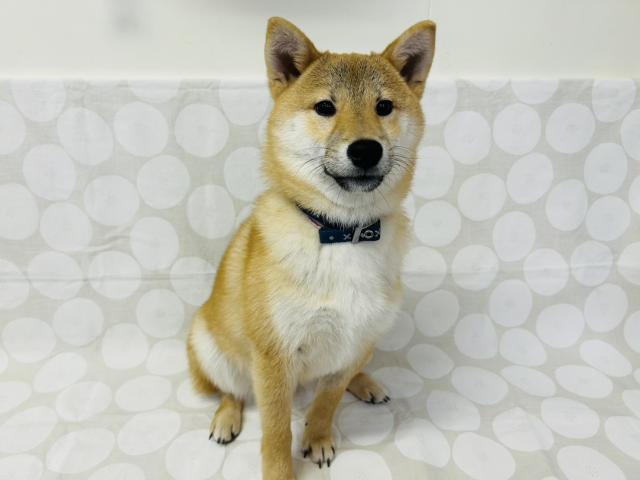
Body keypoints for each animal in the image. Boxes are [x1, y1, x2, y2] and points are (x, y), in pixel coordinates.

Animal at [187, 16, 436, 479]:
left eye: (384, 106)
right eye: (324, 108)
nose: (365, 149)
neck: (342, 233)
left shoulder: (353, 341)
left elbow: (327, 401)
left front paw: (318, 438)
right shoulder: (274, 357)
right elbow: (275, 429)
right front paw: (280, 471)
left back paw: (365, 383)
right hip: (212, 348)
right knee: (232, 390)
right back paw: (227, 418)